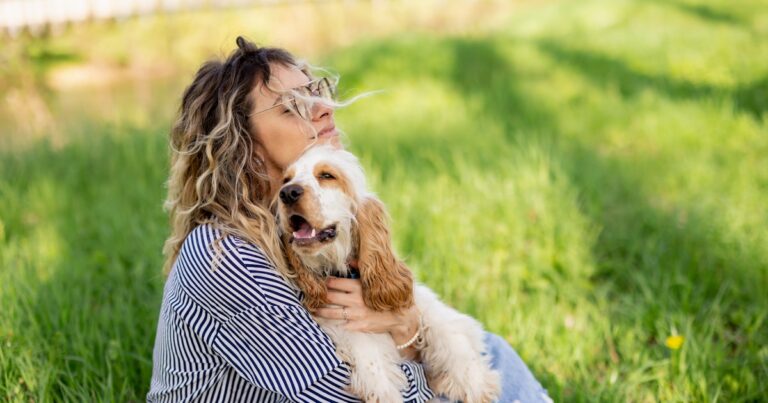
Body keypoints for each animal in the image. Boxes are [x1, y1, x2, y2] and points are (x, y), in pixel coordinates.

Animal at [274, 146, 498, 403]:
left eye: (327, 175)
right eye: (286, 180)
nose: (287, 193)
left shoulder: (416, 302)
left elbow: (446, 330)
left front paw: (474, 382)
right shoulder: (342, 325)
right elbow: (368, 356)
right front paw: (381, 388)